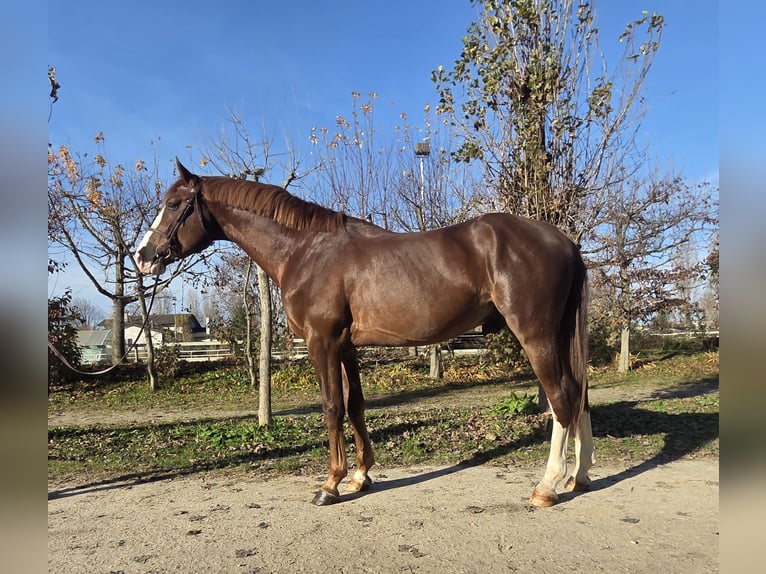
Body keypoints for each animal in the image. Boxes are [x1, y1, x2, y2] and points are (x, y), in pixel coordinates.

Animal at [134, 159, 594, 507]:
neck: (306, 251)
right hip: (559, 336)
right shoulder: (346, 346)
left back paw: (547, 487)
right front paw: (360, 476)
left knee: (561, 398)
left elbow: (331, 407)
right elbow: (355, 405)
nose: (143, 257)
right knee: (580, 394)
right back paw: (581, 475)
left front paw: (330, 485)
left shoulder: (321, 342)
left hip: (536, 334)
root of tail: (565, 242)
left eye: (173, 204)